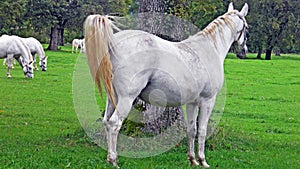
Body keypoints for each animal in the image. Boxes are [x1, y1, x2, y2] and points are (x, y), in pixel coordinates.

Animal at [84, 2, 248, 168]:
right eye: (246, 27)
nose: (244, 51)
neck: (210, 49)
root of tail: (113, 42)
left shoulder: (192, 103)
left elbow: (191, 129)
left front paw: (192, 159)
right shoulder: (208, 100)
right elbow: (202, 130)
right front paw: (202, 160)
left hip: (113, 98)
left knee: (106, 122)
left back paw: (109, 158)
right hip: (126, 98)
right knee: (114, 123)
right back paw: (114, 160)